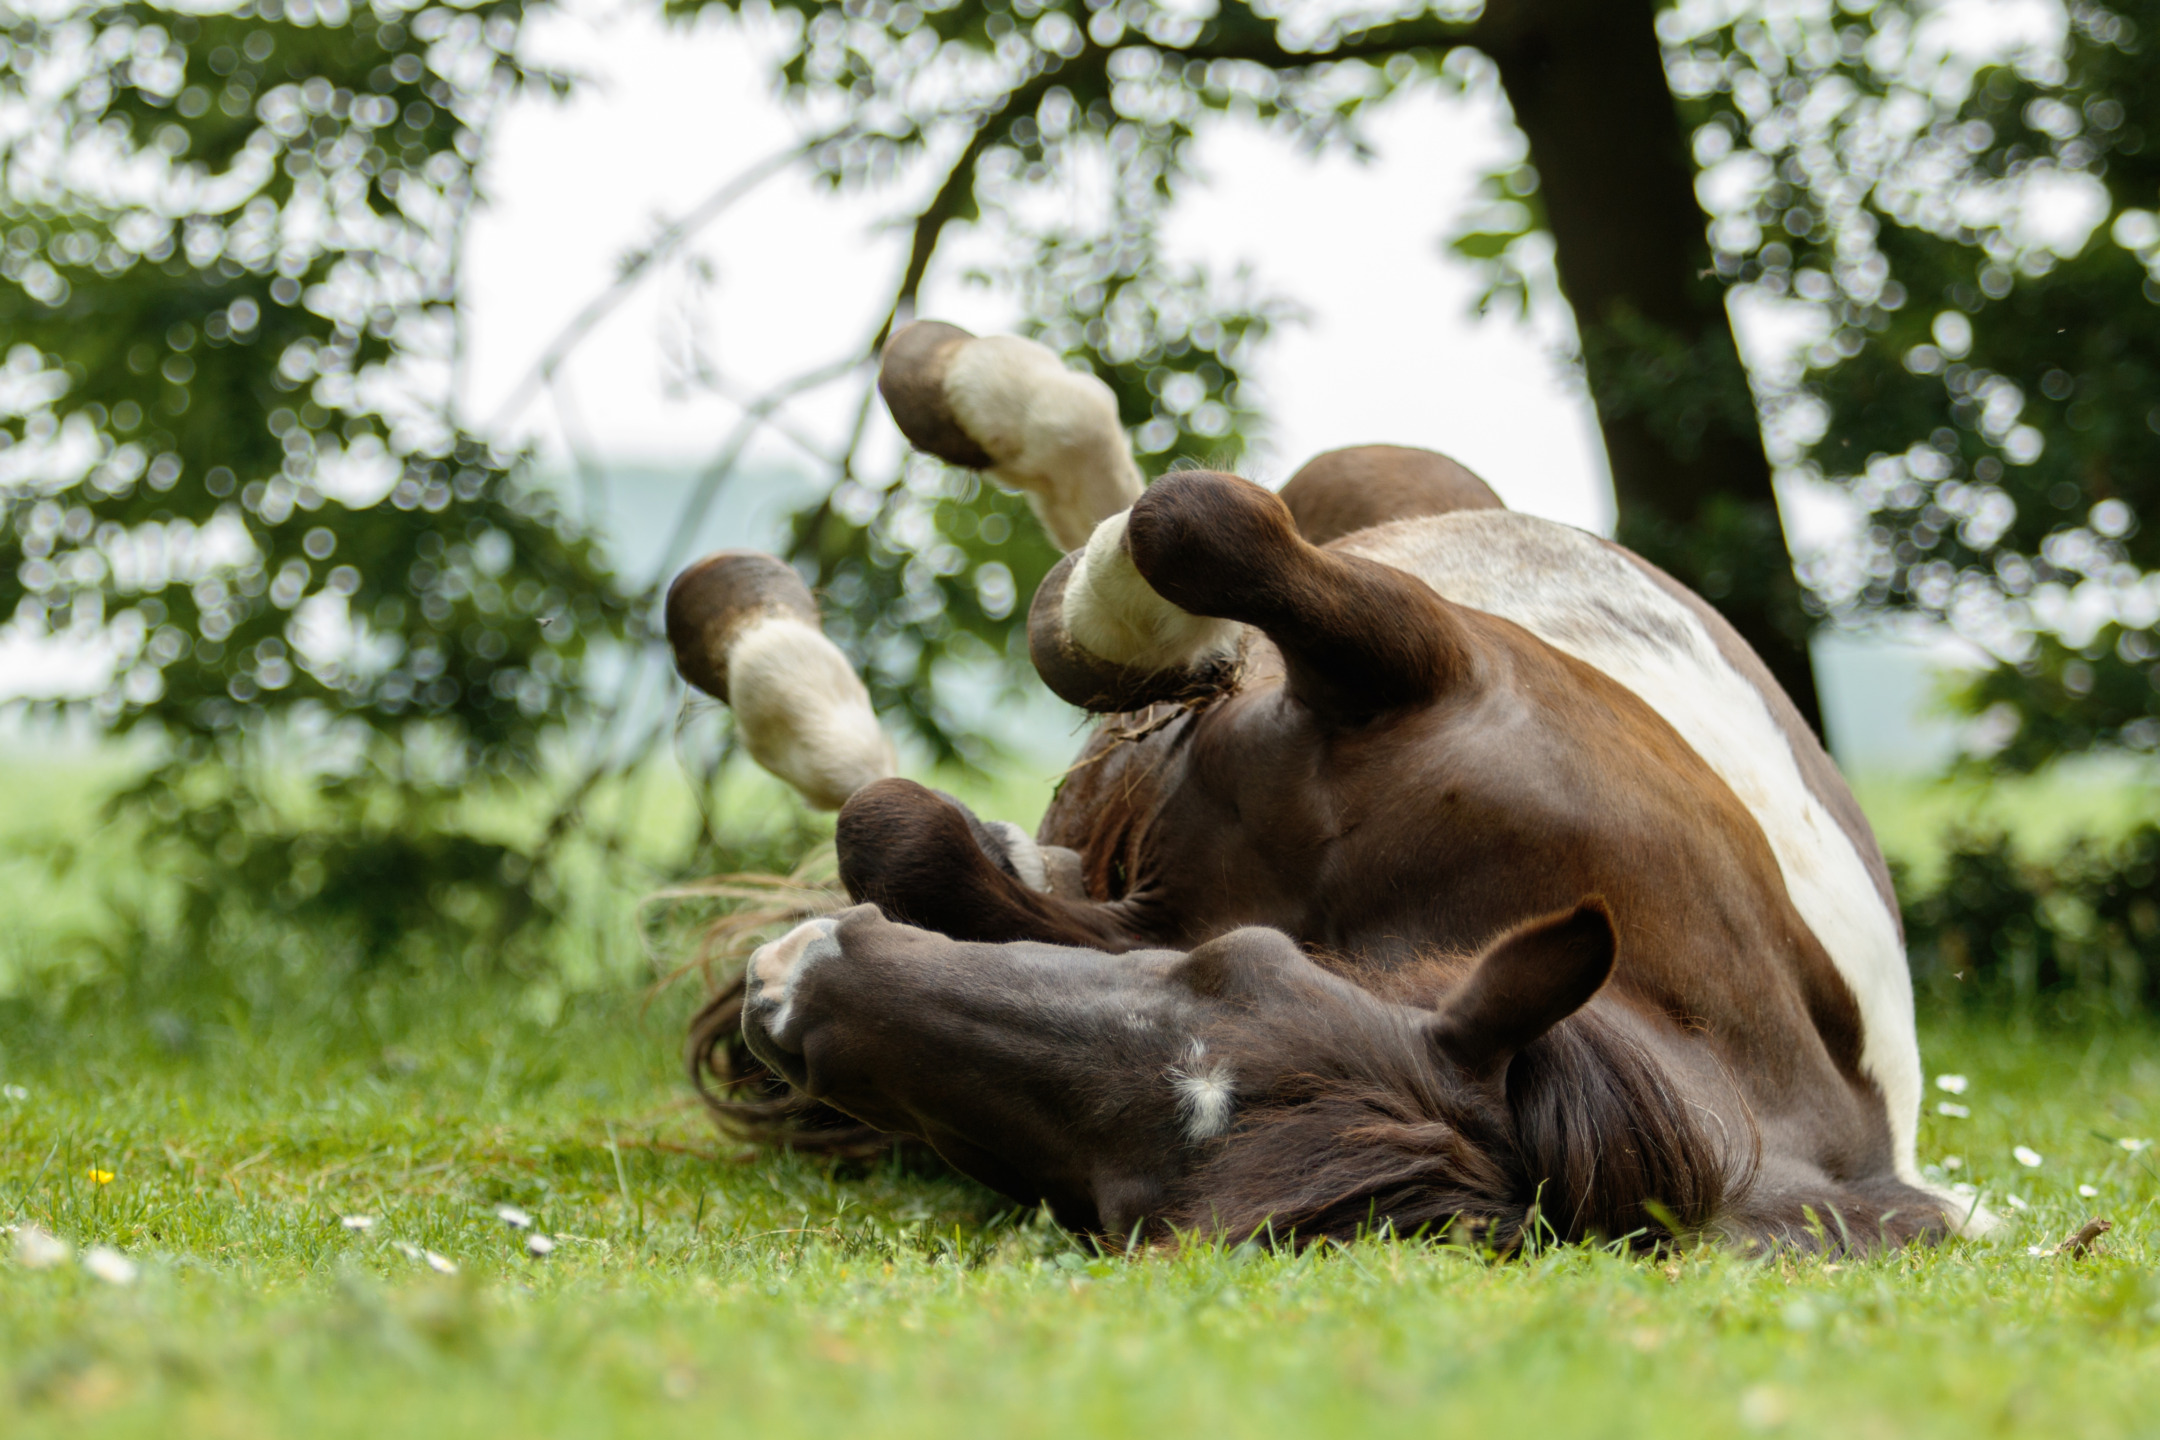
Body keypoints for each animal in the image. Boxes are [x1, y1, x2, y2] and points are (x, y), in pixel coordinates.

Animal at [660, 323, 1978, 1252]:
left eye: (1118, 1208)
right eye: (1235, 968)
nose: (793, 996)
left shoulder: (1126, 909)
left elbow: (900, 834)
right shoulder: (1421, 648)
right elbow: (1196, 521)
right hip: (1380, 492)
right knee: (1147, 497)